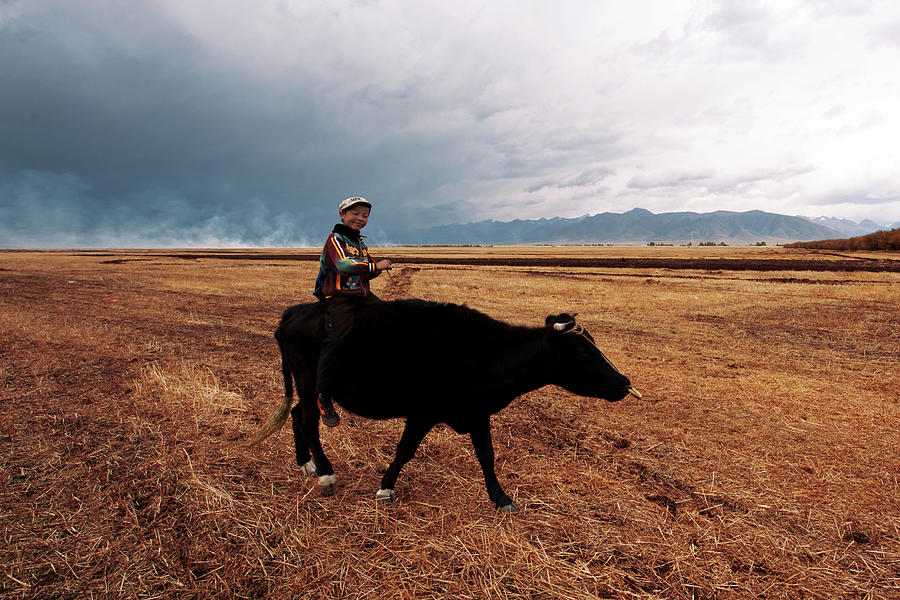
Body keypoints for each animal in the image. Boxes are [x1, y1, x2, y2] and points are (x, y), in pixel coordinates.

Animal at [248, 298, 640, 510]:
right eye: (581, 352)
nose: (624, 383)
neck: (484, 352)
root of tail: (294, 313)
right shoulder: (422, 413)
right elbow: (404, 451)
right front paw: (385, 488)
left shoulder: (477, 413)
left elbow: (487, 455)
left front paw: (502, 499)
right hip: (309, 384)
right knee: (310, 422)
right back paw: (325, 473)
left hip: (305, 389)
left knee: (297, 416)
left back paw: (306, 465)